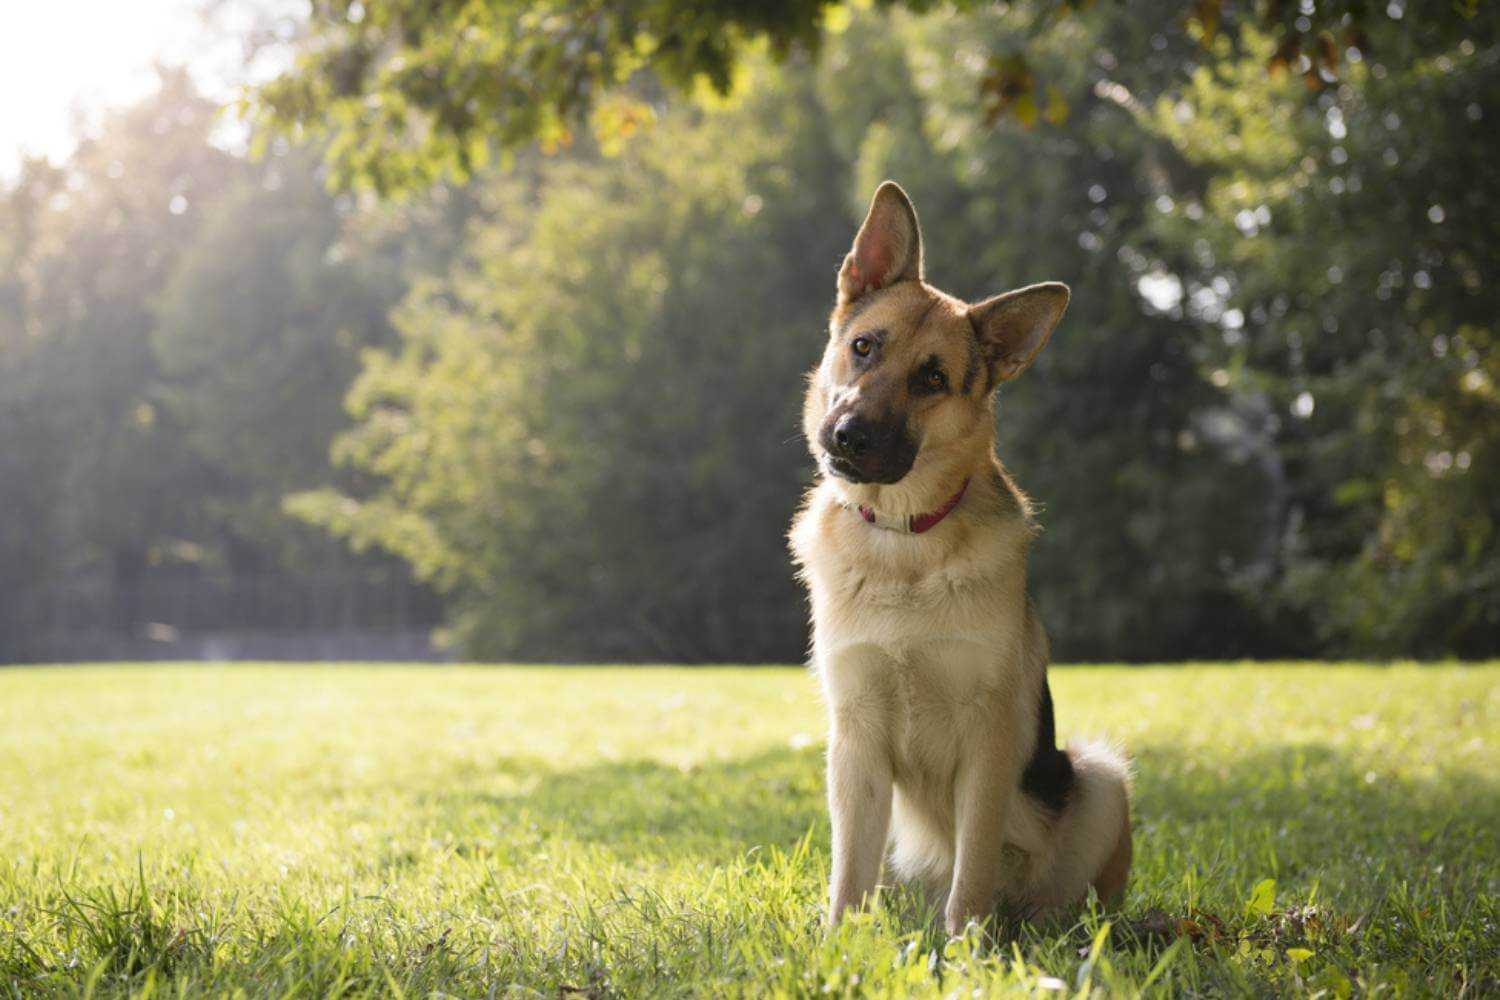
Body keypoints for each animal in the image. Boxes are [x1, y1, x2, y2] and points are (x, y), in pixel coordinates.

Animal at [792, 182, 1128, 941]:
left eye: (933, 379)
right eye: (863, 347)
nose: (847, 436)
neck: (903, 541)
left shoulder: (989, 740)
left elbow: (972, 869)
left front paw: (969, 950)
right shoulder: (854, 742)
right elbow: (848, 874)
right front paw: (837, 947)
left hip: (1099, 777)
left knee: (1066, 898)